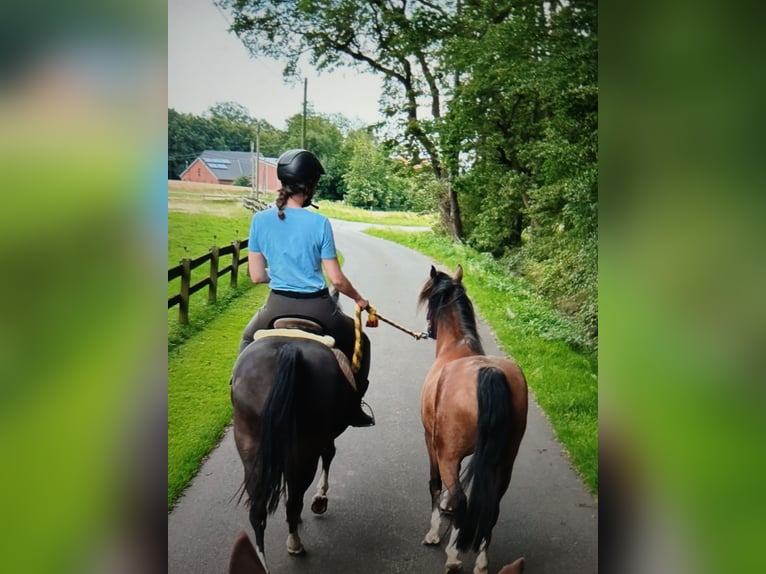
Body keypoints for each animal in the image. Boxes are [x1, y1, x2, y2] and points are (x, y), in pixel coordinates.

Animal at [231, 324, 360, 572]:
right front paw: (320, 498)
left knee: (258, 510)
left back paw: (261, 561)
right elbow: (329, 455)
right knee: (294, 500)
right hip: (305, 451)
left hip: (250, 444)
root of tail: (287, 350)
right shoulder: (325, 438)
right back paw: (295, 543)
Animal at [420, 266, 528, 574]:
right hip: (505, 461)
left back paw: (453, 555)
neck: (456, 347)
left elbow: (436, 485)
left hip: (448, 454)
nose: (429, 330)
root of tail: (488, 373)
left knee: (462, 499)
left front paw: (435, 532)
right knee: (492, 506)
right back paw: (480, 561)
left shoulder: (433, 444)